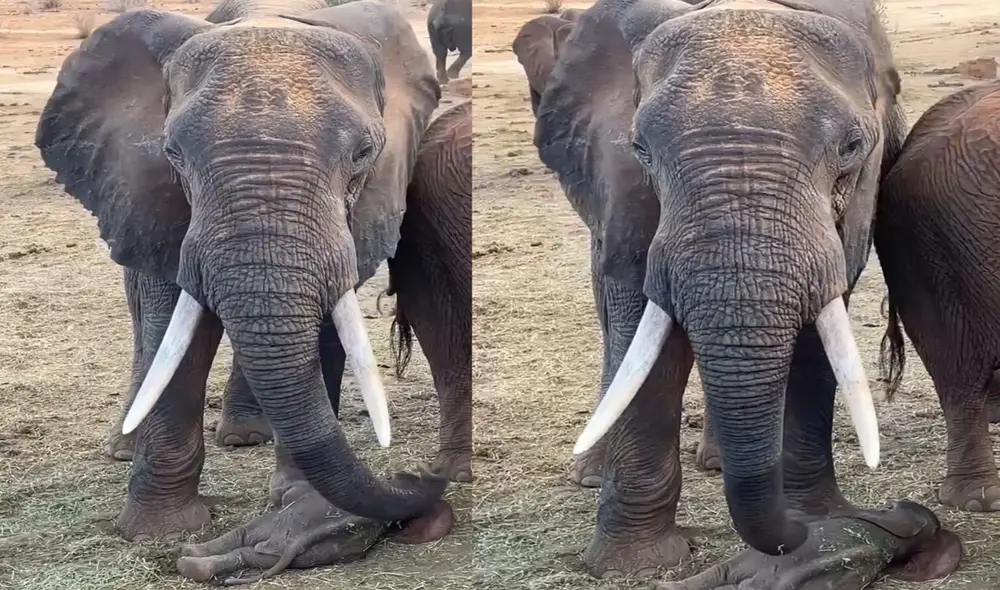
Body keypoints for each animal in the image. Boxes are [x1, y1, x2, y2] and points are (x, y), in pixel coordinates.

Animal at [35, 0, 452, 546]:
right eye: (172, 154)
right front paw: (159, 534)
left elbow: (326, 327)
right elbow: (177, 334)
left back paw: (247, 436)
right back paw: (127, 445)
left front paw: (298, 502)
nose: (423, 474)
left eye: (364, 153)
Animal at [533, 0, 961, 584]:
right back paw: (595, 473)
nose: (902, 514)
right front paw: (634, 566)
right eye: (640, 149)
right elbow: (650, 347)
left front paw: (817, 526)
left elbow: (814, 345)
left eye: (852, 147)